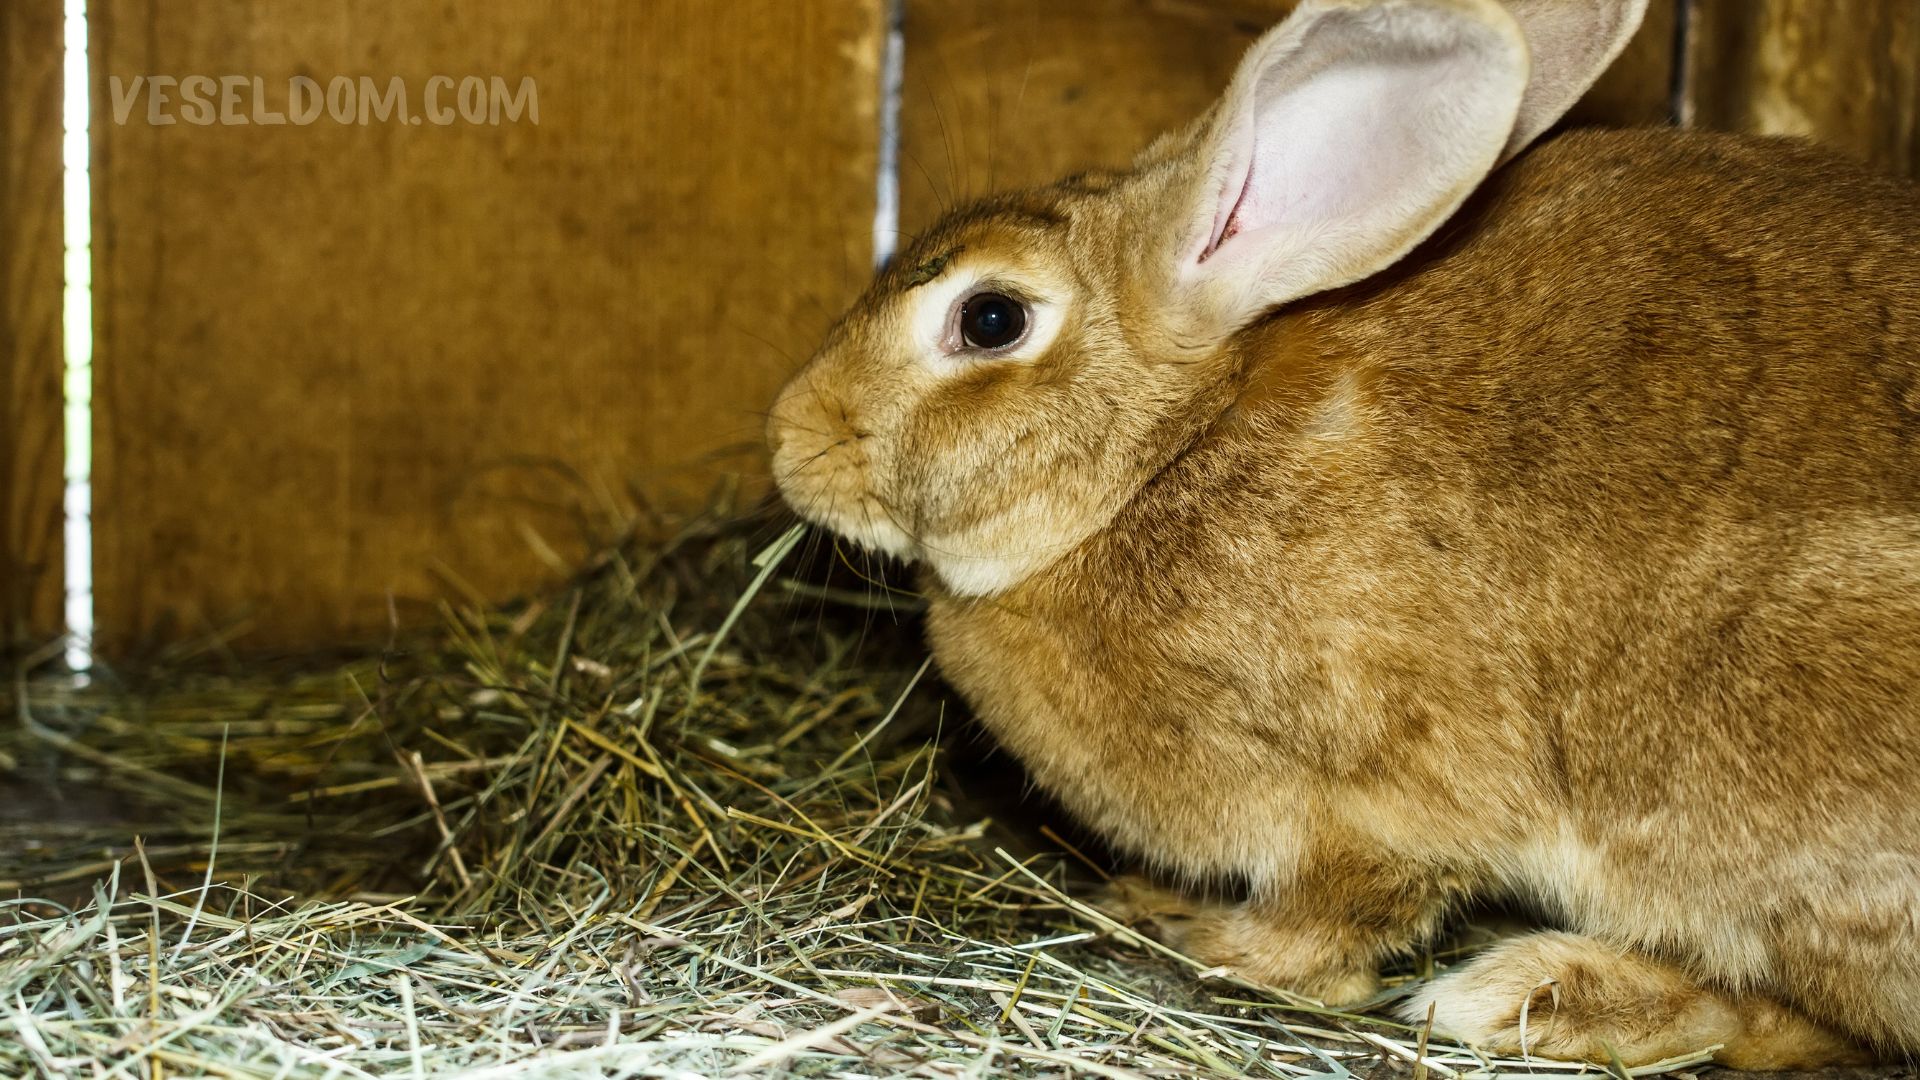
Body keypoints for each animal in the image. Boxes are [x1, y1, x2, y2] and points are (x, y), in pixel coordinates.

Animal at [766, 0, 1920, 1068]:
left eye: (991, 319)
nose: (788, 440)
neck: (1166, 456)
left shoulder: (1375, 808)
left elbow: (1337, 919)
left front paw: (1206, 938)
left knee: (1804, 1020)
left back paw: (1532, 995)